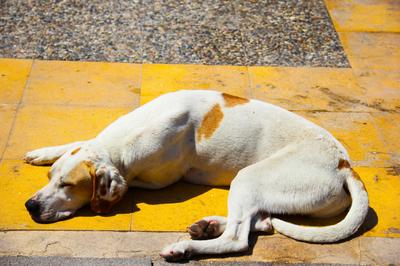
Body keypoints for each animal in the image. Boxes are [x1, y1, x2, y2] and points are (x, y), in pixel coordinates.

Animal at [24, 90, 368, 260]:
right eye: (51, 178)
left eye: (68, 185)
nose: (30, 205)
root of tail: (344, 164)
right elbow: (78, 141)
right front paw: (44, 152)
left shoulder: (152, 178)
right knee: (262, 222)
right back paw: (208, 226)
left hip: (249, 177)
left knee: (238, 238)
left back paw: (186, 248)